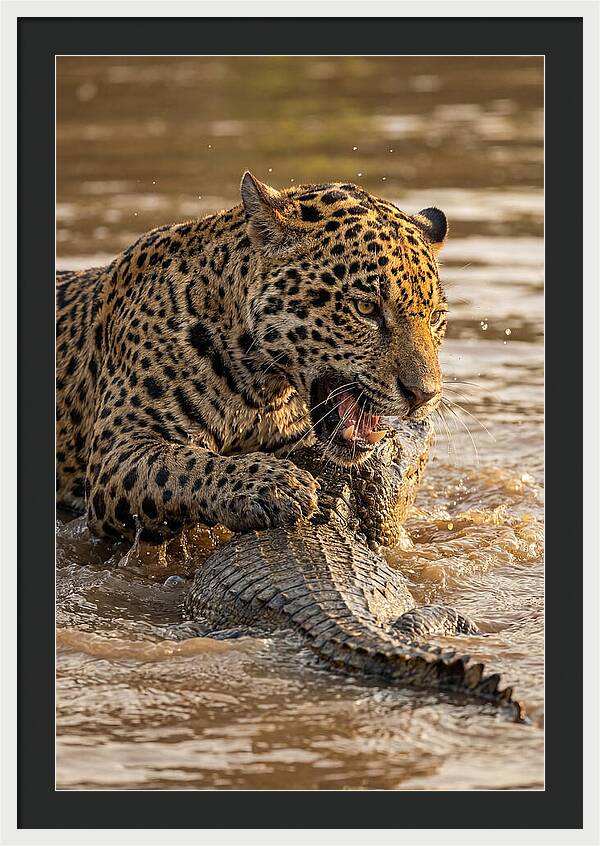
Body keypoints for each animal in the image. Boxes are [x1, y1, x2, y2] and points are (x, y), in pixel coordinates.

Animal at [56, 172, 449, 543]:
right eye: (366, 308)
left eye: (435, 317)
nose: (424, 395)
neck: (261, 388)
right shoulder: (118, 452)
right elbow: (182, 464)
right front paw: (274, 485)